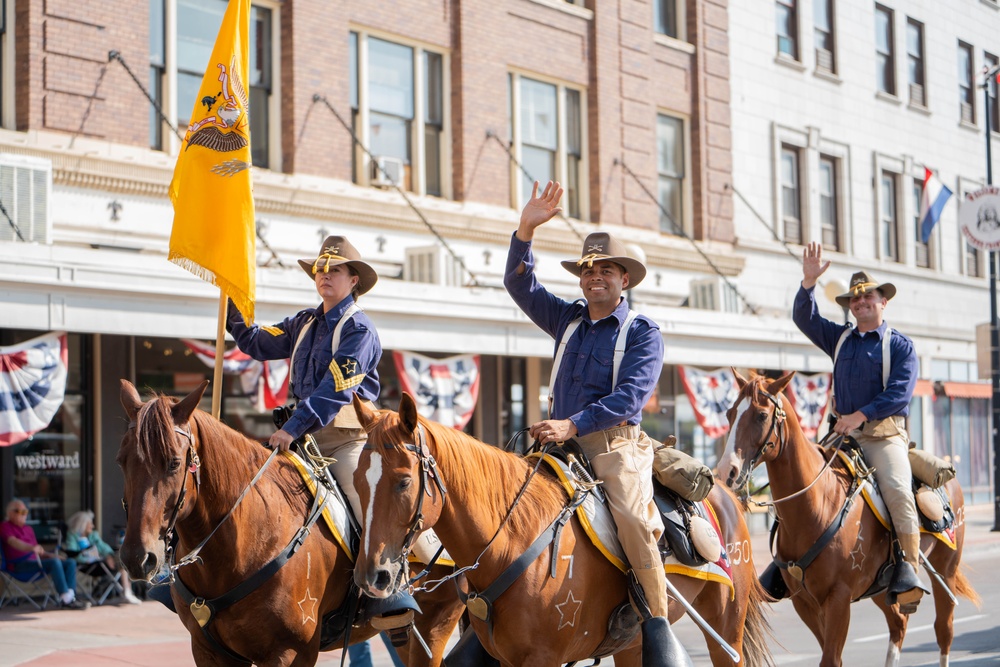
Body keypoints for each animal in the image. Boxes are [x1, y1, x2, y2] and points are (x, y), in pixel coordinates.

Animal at [115, 380, 462, 667]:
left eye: (174, 463)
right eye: (121, 461)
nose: (137, 557)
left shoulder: (291, 653)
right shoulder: (208, 651)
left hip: (436, 624)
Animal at [348, 394, 768, 667]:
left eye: (403, 482)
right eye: (357, 481)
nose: (373, 576)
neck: (512, 541)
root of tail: (727, 493)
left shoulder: (542, 659)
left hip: (726, 625)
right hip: (632, 647)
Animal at [724, 370, 980, 667]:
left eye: (762, 415)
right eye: (729, 413)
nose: (727, 471)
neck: (818, 504)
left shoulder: (839, 597)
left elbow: (830, 658)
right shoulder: (804, 601)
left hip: (946, 568)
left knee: (943, 630)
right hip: (881, 588)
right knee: (898, 624)